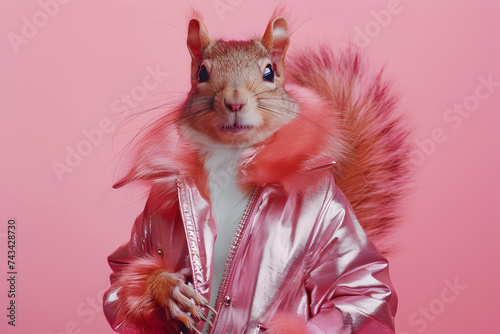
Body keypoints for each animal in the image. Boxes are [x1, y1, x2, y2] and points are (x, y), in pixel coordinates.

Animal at [103, 7, 412, 334]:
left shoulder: (329, 206)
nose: (235, 102)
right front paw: (169, 291)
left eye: (269, 72)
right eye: (202, 73)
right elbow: (122, 270)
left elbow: (362, 288)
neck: (231, 155)